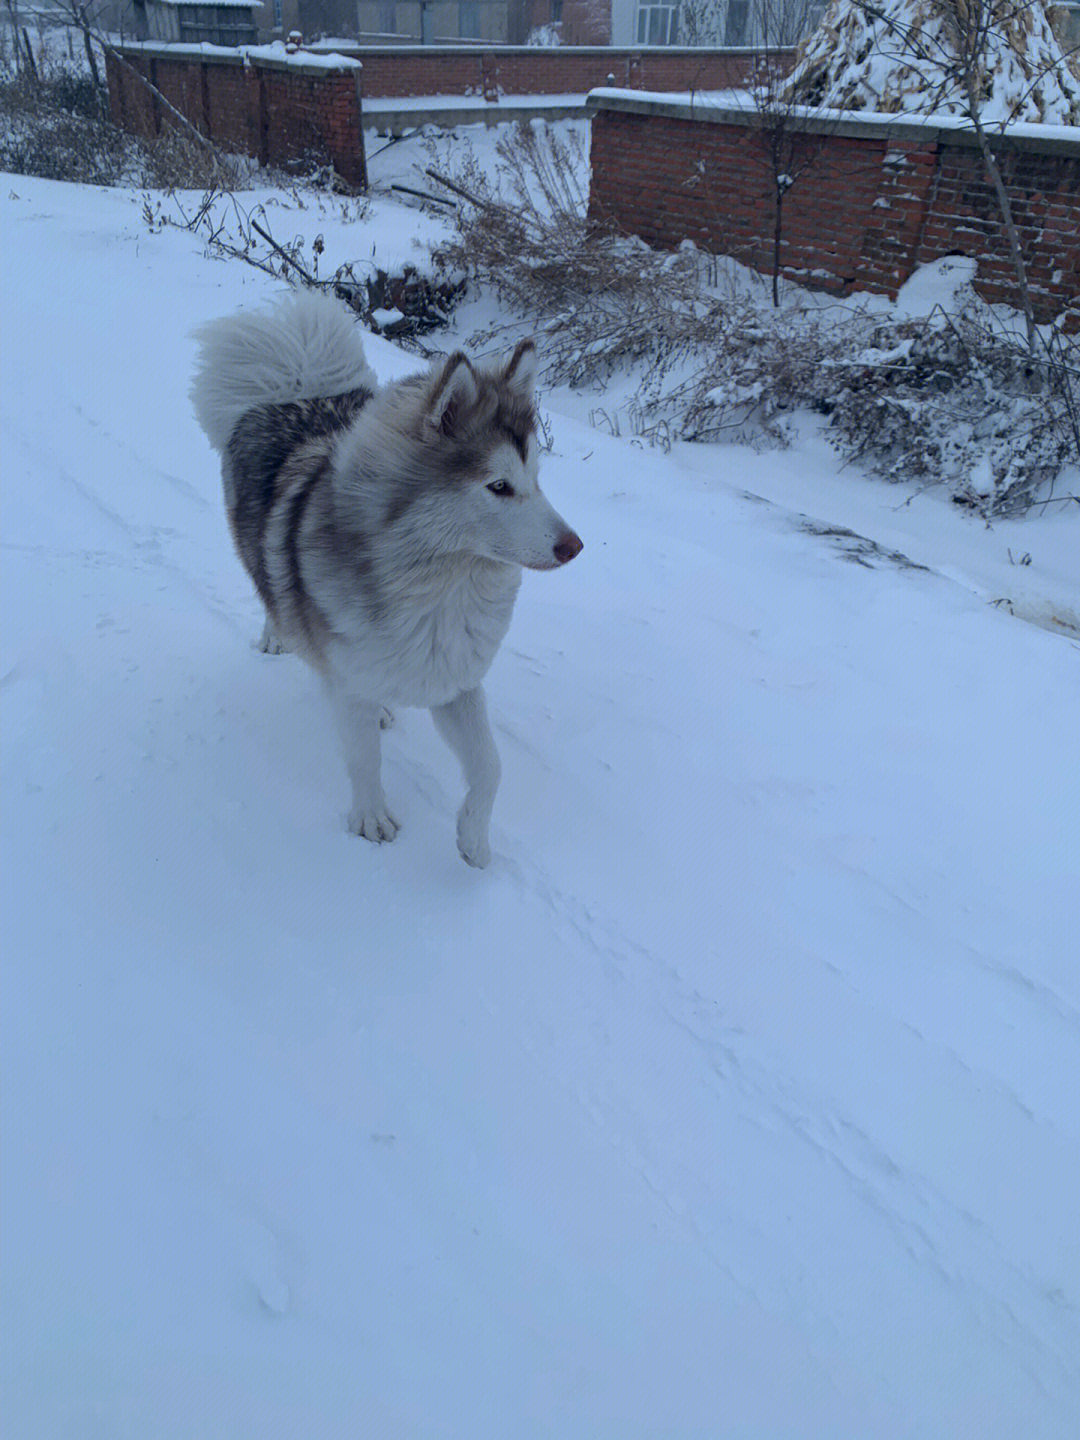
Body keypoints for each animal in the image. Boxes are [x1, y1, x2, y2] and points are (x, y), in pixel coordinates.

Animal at [194, 289, 584, 864]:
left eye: (535, 479)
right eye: (498, 486)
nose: (574, 546)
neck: (439, 587)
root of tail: (297, 393)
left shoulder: (456, 679)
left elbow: (491, 766)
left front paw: (473, 839)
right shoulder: (351, 684)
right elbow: (364, 759)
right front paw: (371, 819)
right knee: (273, 590)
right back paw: (277, 635)